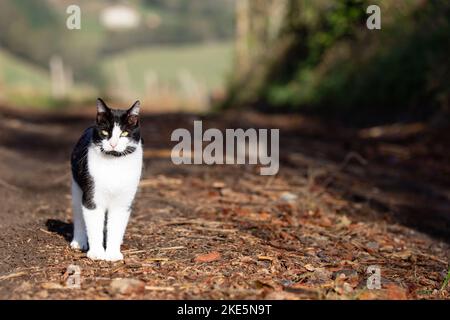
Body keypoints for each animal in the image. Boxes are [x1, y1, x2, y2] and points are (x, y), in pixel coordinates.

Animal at [70, 99, 142, 262]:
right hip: (77, 187)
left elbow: (116, 227)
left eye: (124, 133)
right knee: (79, 216)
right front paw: (97, 253)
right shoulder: (92, 198)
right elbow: (94, 225)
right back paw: (79, 241)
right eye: (105, 132)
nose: (113, 144)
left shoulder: (123, 202)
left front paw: (113, 254)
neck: (113, 163)